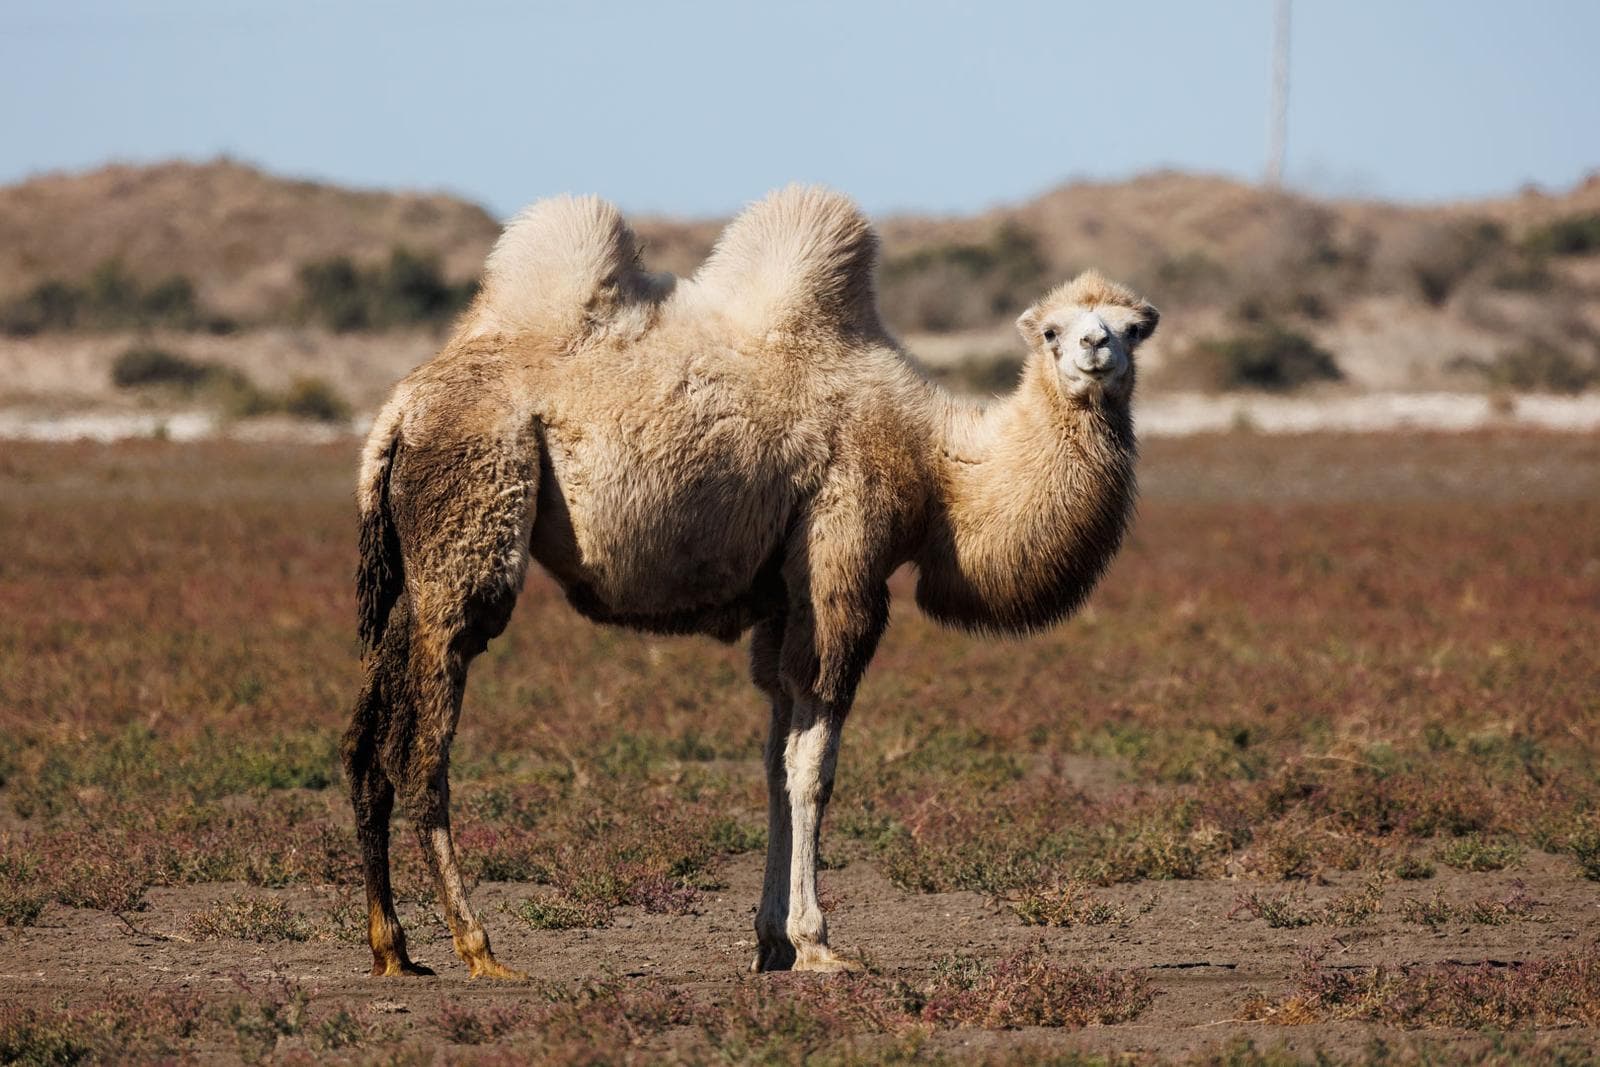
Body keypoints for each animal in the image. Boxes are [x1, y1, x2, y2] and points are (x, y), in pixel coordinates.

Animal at [342, 186, 1158, 979]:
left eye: (1132, 327)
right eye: (1051, 331)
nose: (1095, 349)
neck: (936, 468)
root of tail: (400, 410)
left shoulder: (782, 598)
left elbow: (773, 761)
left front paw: (771, 942)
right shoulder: (841, 561)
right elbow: (813, 768)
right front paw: (817, 943)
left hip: (408, 573)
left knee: (364, 743)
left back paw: (394, 948)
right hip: (473, 518)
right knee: (423, 748)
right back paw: (477, 946)